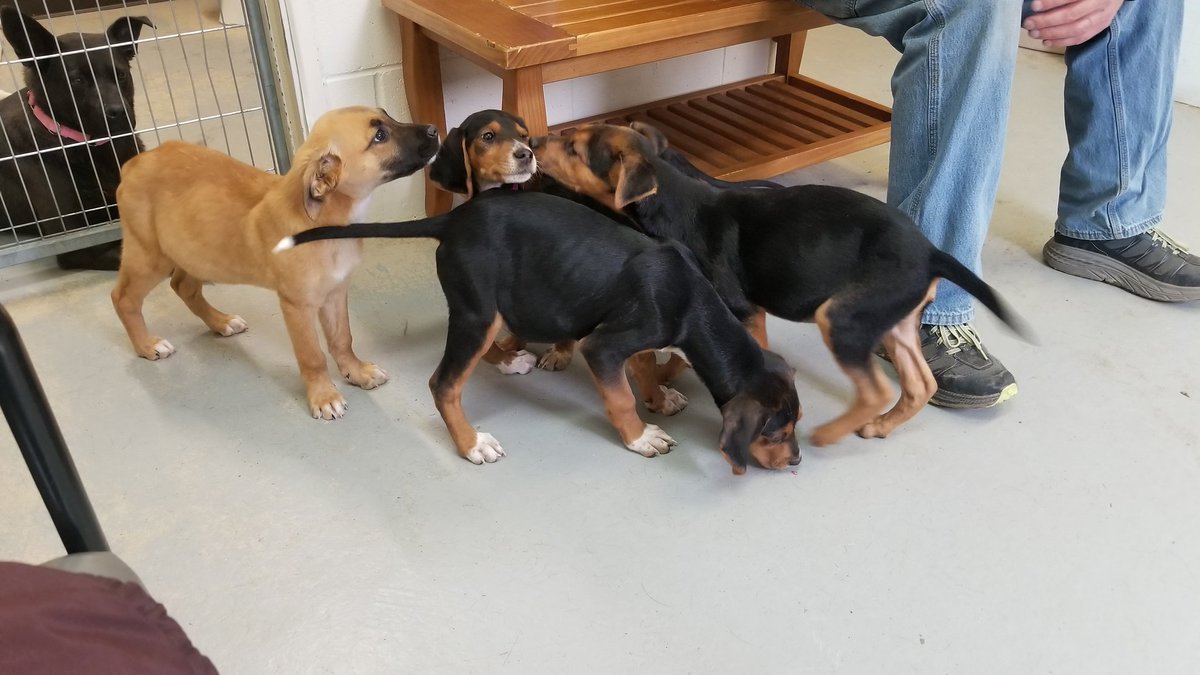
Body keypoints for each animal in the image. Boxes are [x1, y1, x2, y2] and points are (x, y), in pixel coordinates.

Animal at [111, 106, 441, 415]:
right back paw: (147, 345)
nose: (435, 130)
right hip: (150, 255)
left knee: (183, 287)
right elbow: (312, 355)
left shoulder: (335, 292)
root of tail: (135, 162)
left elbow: (342, 339)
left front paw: (357, 372)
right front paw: (324, 396)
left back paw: (221, 322)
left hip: (195, 251)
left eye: (387, 115)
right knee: (123, 297)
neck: (327, 222)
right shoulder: (297, 305)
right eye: (380, 136)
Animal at [276, 189, 801, 473]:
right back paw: (471, 443)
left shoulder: (630, 335)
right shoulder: (603, 346)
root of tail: (454, 217)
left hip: (506, 303)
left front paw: (660, 397)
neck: (692, 300)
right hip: (479, 311)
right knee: (444, 383)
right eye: (777, 432)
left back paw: (514, 361)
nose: (796, 461)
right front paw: (639, 437)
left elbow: (645, 369)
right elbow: (620, 397)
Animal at [532, 120, 1022, 446]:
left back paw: (829, 434)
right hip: (893, 319)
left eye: (573, 149)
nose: (533, 143)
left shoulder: (741, 311)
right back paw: (879, 426)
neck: (673, 200)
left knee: (878, 388)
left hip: (843, 317)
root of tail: (931, 251)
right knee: (921, 384)